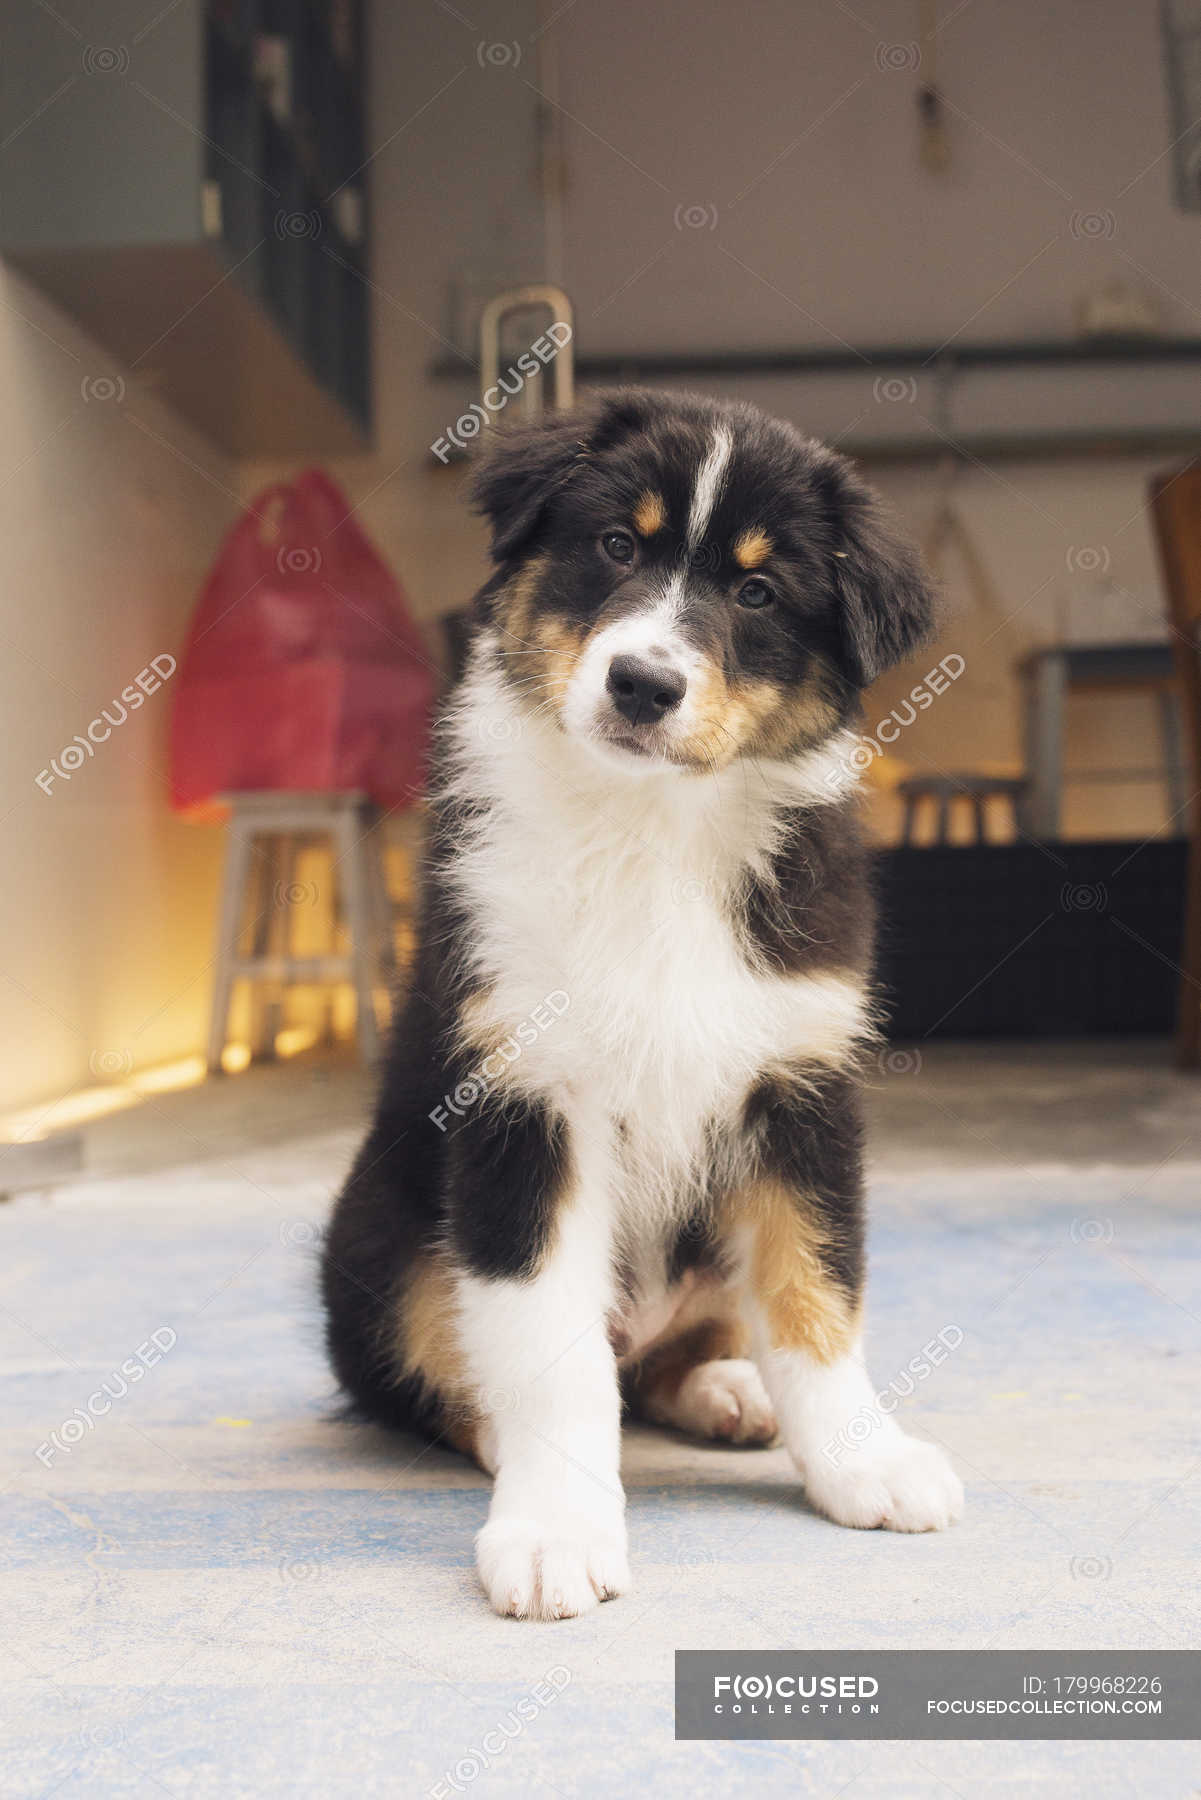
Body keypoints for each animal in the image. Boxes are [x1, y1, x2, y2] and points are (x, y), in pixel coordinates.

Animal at [322, 390, 965, 1620]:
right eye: (617, 545)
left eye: (758, 594)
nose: (642, 684)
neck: (649, 828)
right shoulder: (523, 1101)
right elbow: (547, 1352)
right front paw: (552, 1531)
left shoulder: (798, 1085)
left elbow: (816, 1299)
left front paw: (862, 1460)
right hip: (383, 1245)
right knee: (463, 1371)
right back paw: (506, 1442)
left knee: (681, 1349)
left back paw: (730, 1393)